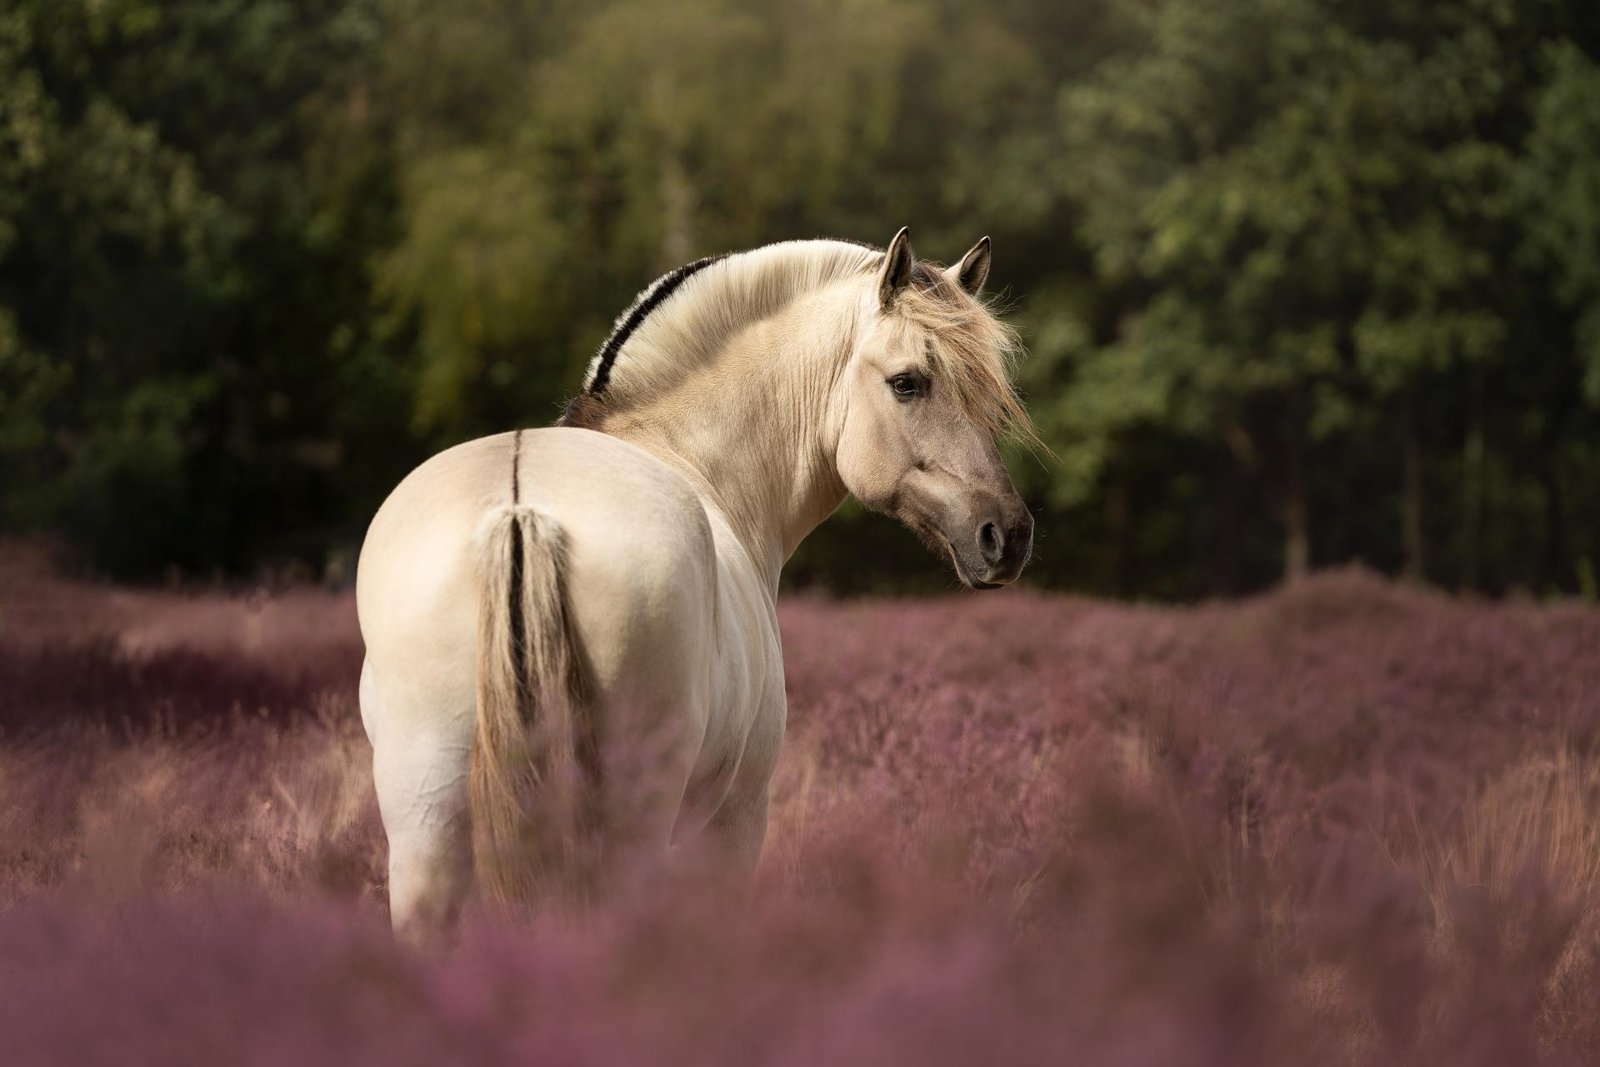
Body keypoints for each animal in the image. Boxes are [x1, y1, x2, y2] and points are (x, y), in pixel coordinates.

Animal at [355, 228, 1037, 943]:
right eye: (908, 383)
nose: (1008, 536)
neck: (692, 458)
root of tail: (519, 508)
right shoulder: (735, 819)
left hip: (425, 827)